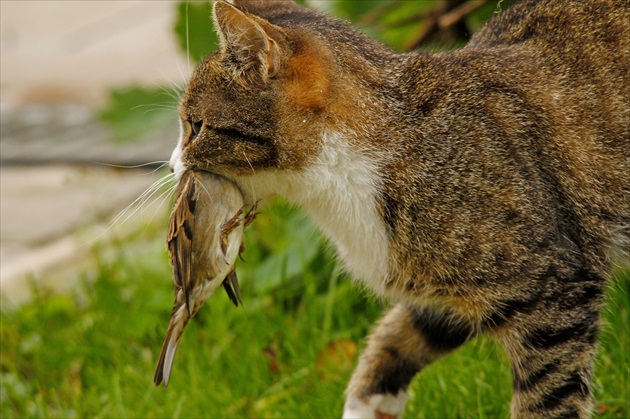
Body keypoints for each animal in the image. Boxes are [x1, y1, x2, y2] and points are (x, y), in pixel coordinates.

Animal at [165, 0, 628, 418]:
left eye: (196, 126)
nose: (170, 165)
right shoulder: (439, 290)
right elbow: (394, 339)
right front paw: (366, 404)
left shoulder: (554, 289)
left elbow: (546, 400)